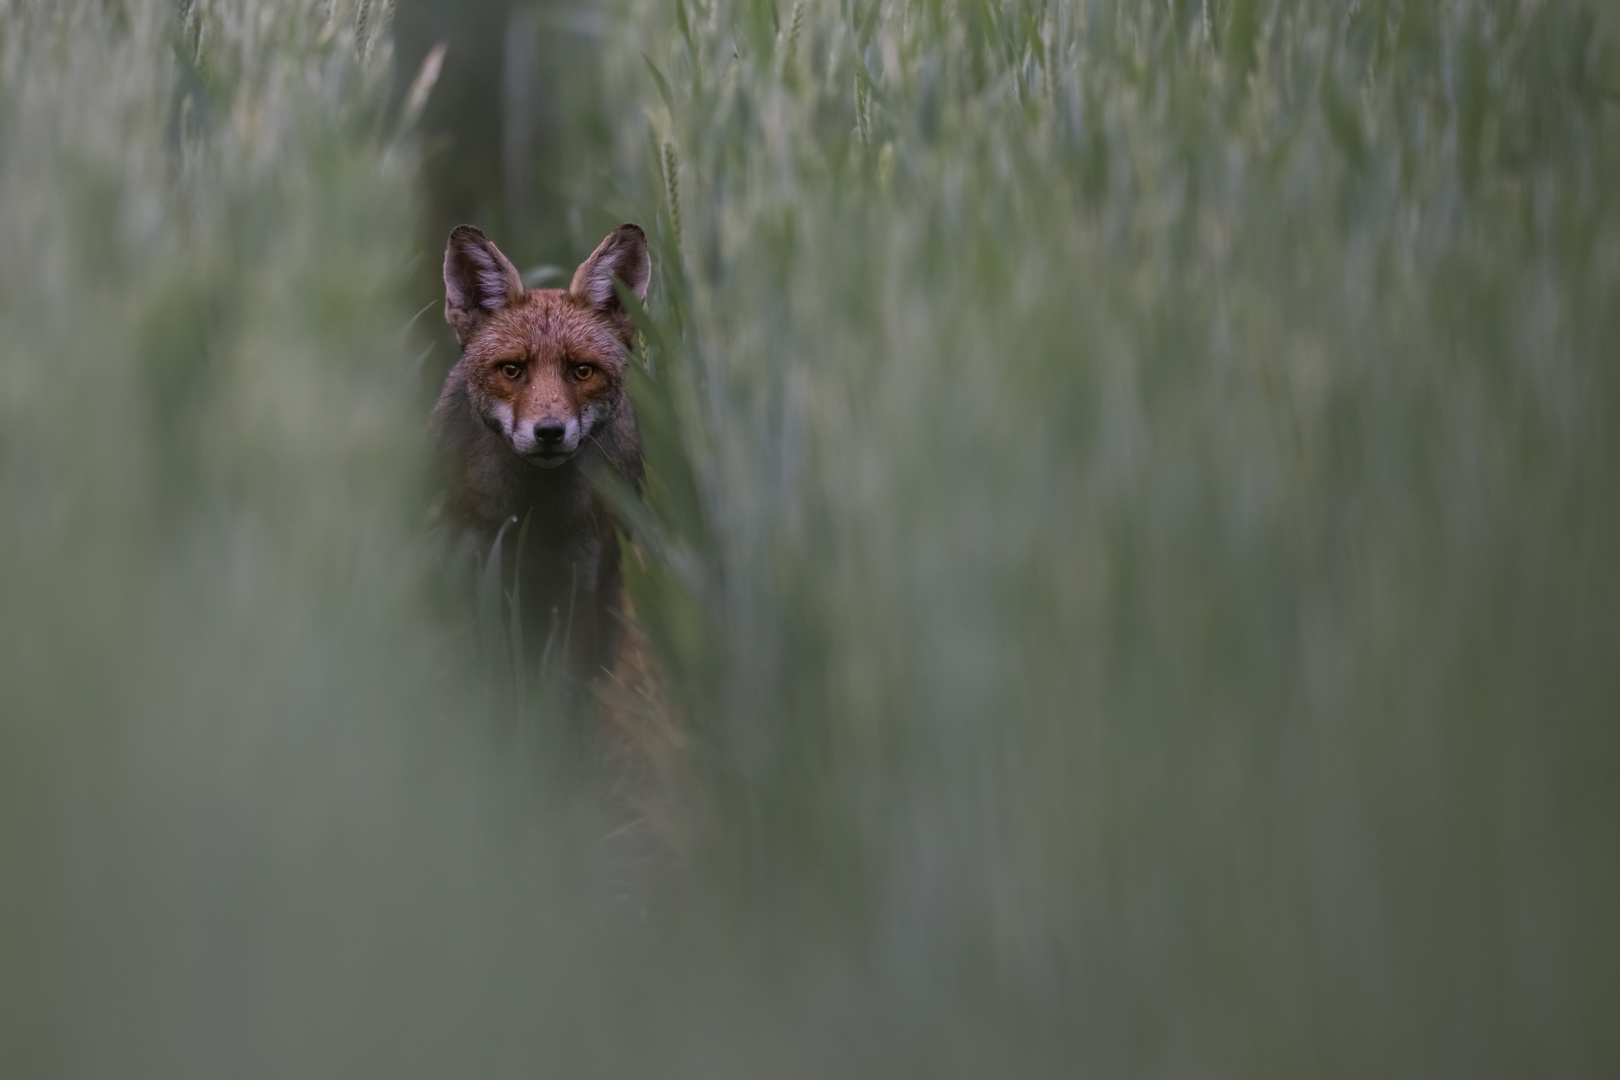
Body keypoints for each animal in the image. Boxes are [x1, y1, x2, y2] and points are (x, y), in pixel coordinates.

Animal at [437, 223, 651, 689]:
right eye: (512, 370)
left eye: (582, 371)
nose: (549, 432)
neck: (533, 513)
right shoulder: (472, 567)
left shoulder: (578, 582)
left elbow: (565, 688)